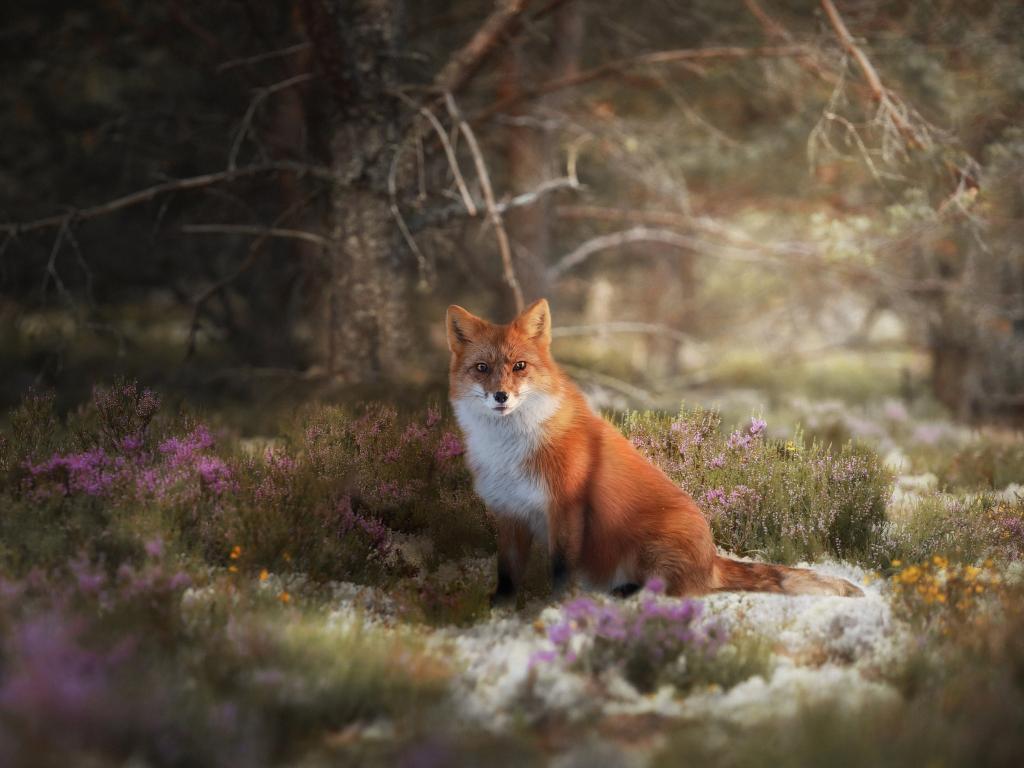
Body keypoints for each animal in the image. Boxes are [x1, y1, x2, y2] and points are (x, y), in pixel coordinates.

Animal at [446, 298, 863, 602]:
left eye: (519, 366)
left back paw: (627, 591)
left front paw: (554, 607)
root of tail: (711, 558)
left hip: (650, 544)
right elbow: (507, 570)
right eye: (482, 368)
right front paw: (500, 607)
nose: (501, 396)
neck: (509, 449)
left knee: (675, 590)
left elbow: (562, 570)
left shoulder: (565, 505)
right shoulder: (508, 509)